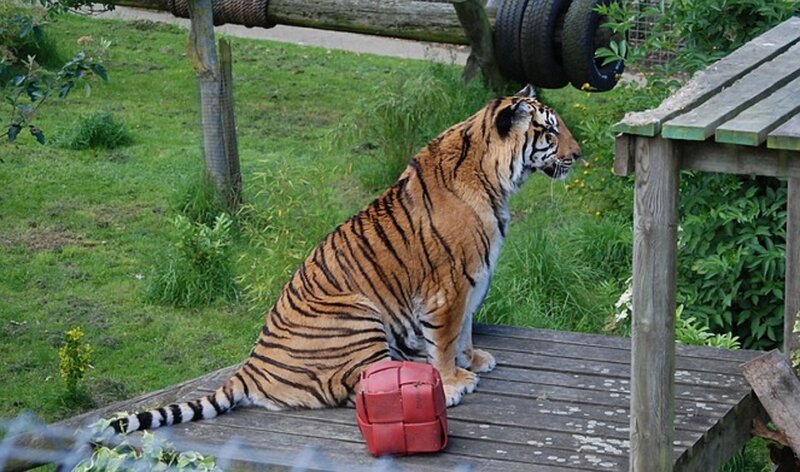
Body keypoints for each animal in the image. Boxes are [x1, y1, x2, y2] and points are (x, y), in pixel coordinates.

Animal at [110, 84, 581, 435]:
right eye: (550, 132)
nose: (578, 155)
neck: (496, 180)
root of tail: (251, 369)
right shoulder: (448, 288)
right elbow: (447, 338)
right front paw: (452, 381)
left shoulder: (472, 281)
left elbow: (463, 331)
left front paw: (473, 360)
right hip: (357, 311)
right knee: (357, 385)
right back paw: (422, 378)